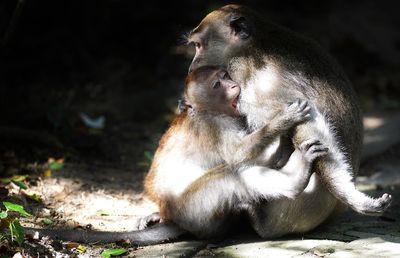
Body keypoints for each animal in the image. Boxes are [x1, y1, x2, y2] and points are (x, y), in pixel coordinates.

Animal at [144, 65, 328, 237]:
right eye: (217, 85)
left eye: (225, 76)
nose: (233, 85)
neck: (206, 110)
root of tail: (172, 217)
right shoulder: (214, 126)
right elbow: (237, 154)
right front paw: (282, 120)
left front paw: (283, 144)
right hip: (194, 210)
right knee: (234, 176)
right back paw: (297, 179)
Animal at [188, 4, 390, 238]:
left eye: (199, 46)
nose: (192, 67)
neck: (254, 45)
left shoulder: (258, 79)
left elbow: (307, 123)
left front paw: (348, 193)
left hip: (290, 213)